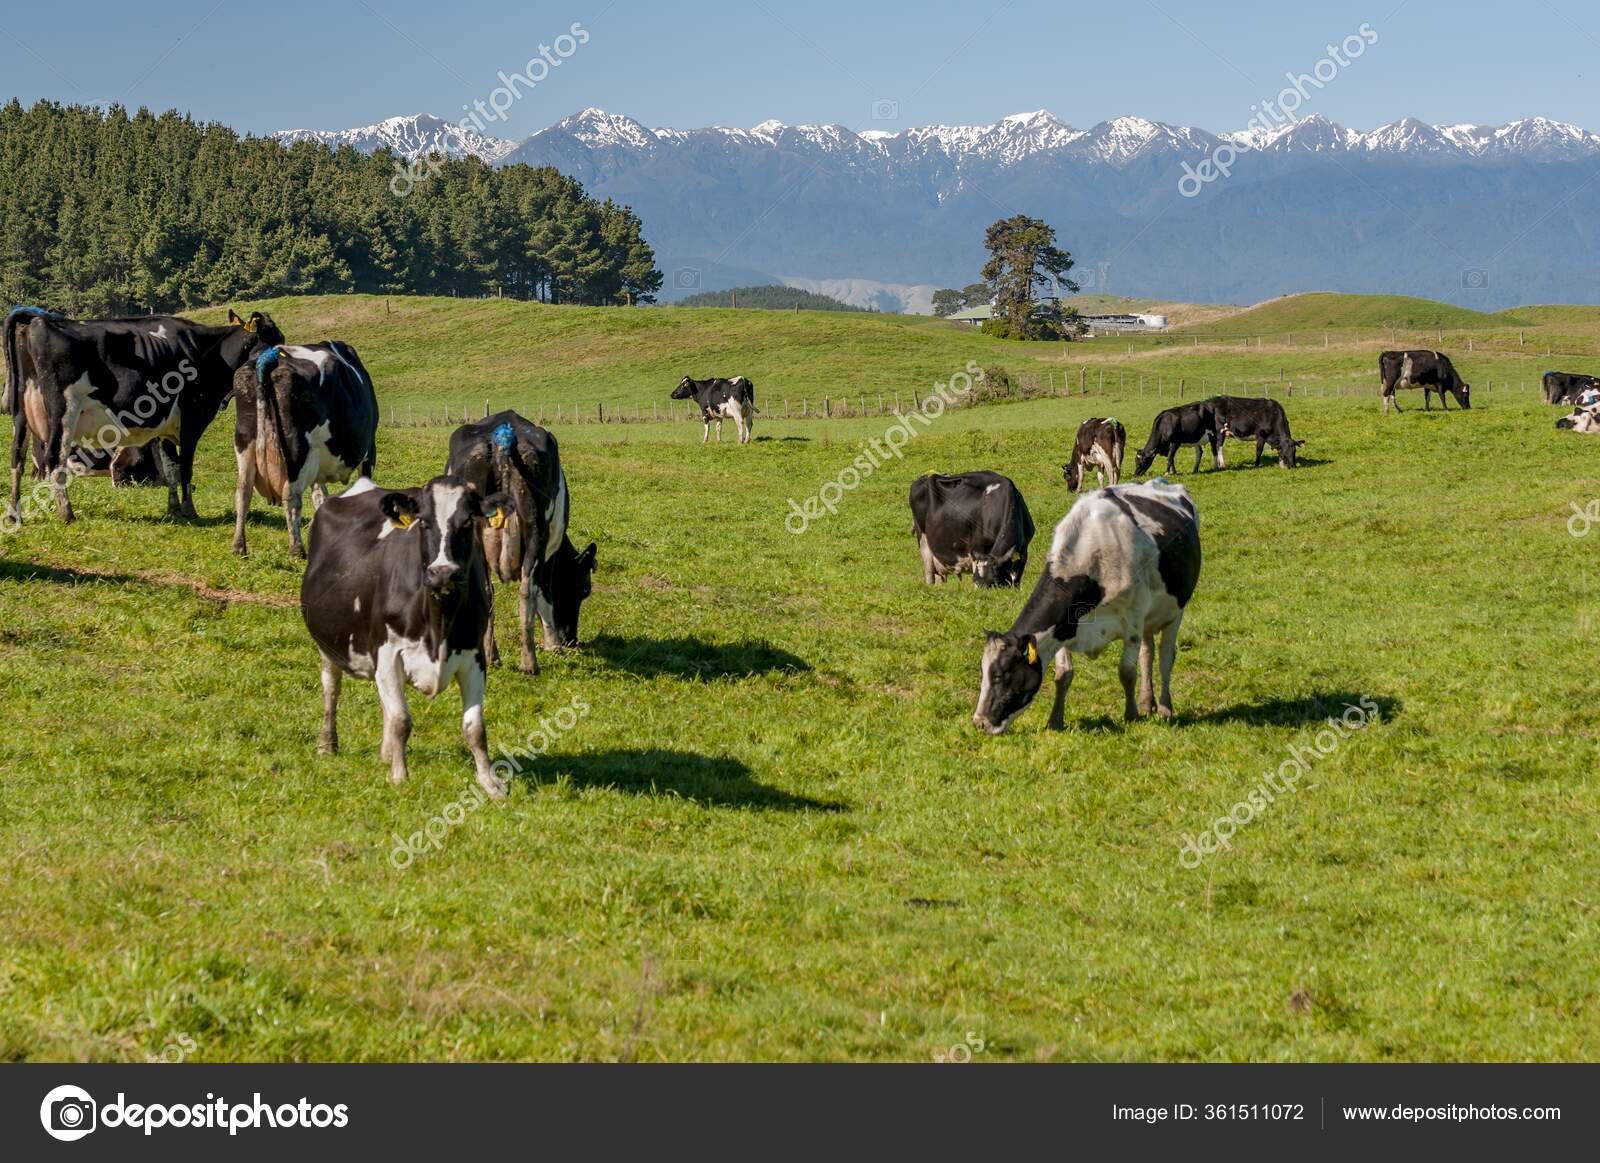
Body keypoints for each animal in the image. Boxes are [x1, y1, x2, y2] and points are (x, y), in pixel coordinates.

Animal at [2, 305, 281, 524]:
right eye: (274, 342)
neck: (210, 353)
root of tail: (40, 318)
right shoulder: (192, 419)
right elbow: (186, 468)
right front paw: (190, 510)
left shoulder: (166, 427)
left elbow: (170, 469)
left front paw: (173, 509)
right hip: (64, 410)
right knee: (53, 458)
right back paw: (66, 513)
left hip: (21, 412)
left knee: (17, 457)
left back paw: (15, 514)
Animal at [232, 340, 377, 559]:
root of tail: (271, 357)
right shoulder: (369, 451)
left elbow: (319, 496)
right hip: (297, 449)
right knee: (291, 496)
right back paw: (297, 548)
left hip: (245, 441)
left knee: (243, 491)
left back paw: (239, 546)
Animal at [302, 476, 515, 796]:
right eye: (424, 522)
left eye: (467, 522)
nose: (443, 573)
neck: (439, 626)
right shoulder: (388, 652)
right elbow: (402, 720)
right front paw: (400, 776)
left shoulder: (474, 656)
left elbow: (474, 727)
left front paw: (490, 784)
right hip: (329, 644)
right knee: (332, 686)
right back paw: (328, 744)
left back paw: (386, 752)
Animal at [448, 412, 598, 678]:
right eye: (584, 589)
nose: (571, 639)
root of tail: (504, 436)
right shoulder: (550, 553)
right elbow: (545, 594)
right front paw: (553, 644)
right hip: (537, 531)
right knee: (528, 588)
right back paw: (530, 662)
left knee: (487, 591)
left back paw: (493, 656)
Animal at [972, 476, 1203, 732]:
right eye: (983, 673)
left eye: (1000, 675)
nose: (979, 722)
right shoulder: (1064, 626)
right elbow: (1063, 675)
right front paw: (1055, 720)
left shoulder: (1133, 620)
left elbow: (1126, 672)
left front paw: (1131, 715)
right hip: (1150, 618)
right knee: (1147, 653)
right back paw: (1147, 702)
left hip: (1175, 612)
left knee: (1165, 658)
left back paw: (1164, 708)